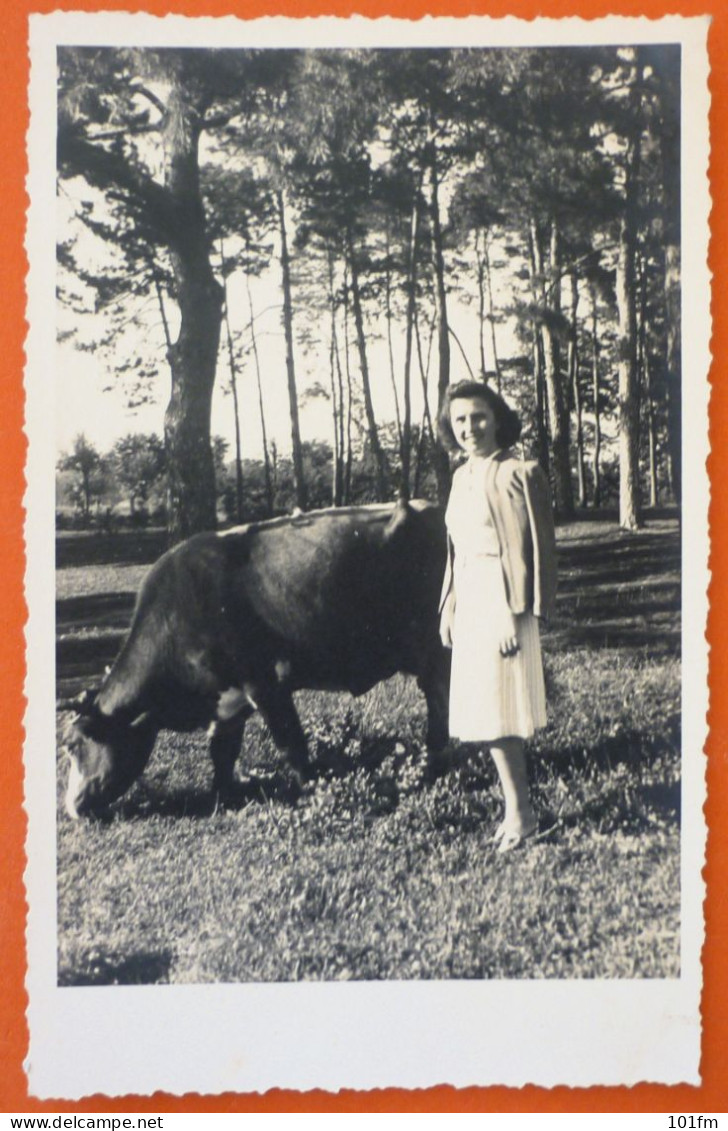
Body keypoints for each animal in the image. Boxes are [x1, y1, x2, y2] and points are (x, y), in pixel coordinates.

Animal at [62, 499, 449, 818]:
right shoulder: (228, 699)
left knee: (439, 703)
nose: (71, 807)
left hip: (434, 648)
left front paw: (312, 792)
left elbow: (291, 744)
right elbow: (222, 750)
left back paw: (436, 765)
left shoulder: (266, 683)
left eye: (73, 744)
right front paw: (222, 795)